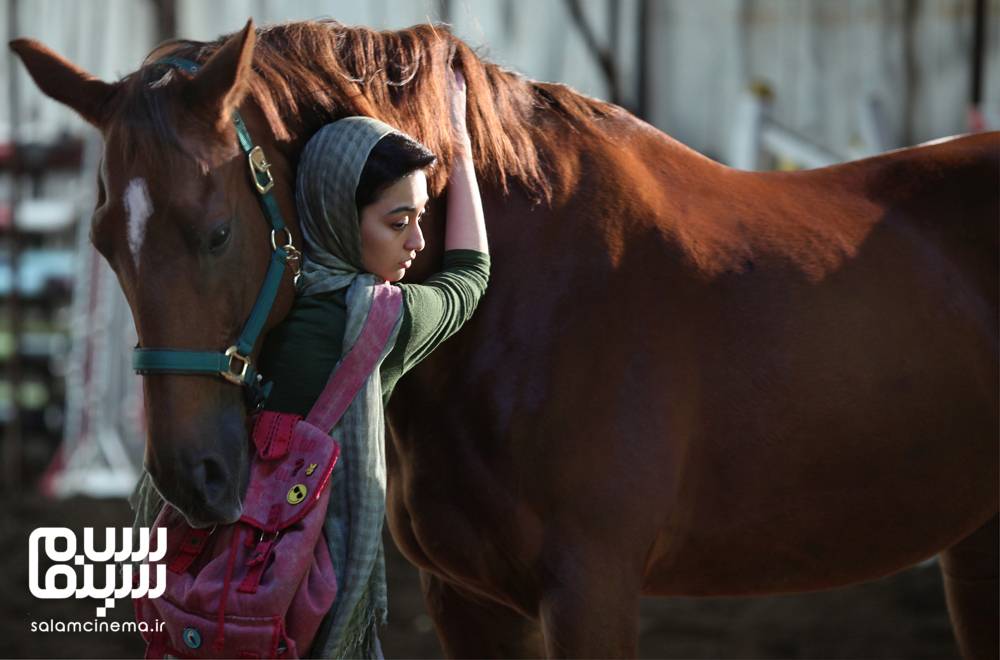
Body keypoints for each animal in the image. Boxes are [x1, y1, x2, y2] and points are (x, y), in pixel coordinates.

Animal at [11, 18, 996, 656]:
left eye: (215, 233)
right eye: (104, 241)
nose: (194, 479)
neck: (528, 307)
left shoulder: (592, 592)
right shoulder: (468, 602)